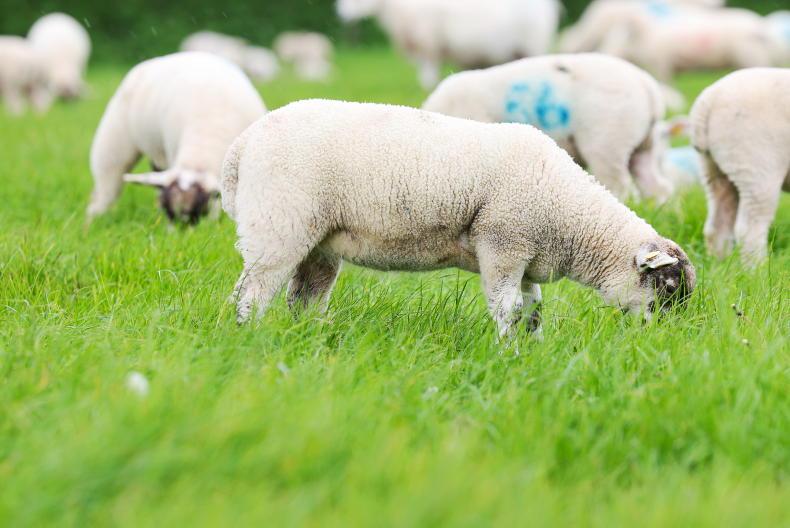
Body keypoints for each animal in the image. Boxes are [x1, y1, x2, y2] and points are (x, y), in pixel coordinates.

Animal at [88, 52, 266, 224]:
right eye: (169, 212)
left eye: (199, 211)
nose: (180, 233)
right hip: (115, 146)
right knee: (104, 190)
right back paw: (91, 223)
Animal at [222, 100, 696, 333]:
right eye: (668, 288)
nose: (666, 339)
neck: (572, 217)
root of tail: (241, 145)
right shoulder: (503, 243)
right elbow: (508, 309)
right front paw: (509, 354)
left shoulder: (523, 255)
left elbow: (532, 309)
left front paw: (533, 348)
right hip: (278, 225)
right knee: (251, 294)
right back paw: (248, 340)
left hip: (318, 238)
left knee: (305, 298)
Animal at [690, 68, 790, 265]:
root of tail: (708, 101)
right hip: (757, 165)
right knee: (749, 229)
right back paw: (757, 268)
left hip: (714, 169)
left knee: (716, 226)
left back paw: (720, 263)